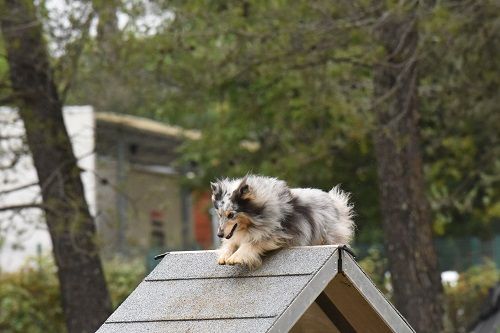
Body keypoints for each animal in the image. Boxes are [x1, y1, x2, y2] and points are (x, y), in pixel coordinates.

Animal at [211, 175, 356, 268]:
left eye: (231, 215)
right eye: (219, 215)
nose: (219, 234)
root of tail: (335, 201)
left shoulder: (273, 233)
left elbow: (251, 243)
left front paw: (236, 257)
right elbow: (230, 243)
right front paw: (224, 256)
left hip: (328, 236)